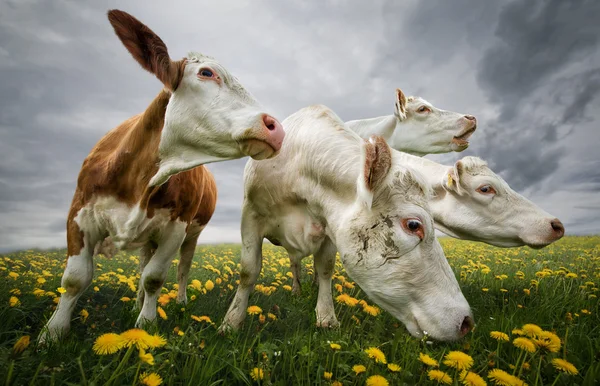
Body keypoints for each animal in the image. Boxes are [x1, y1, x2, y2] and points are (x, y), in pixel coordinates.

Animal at [220, 105, 474, 340]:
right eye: (413, 225)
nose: (467, 322)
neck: (298, 170)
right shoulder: (251, 216)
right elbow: (248, 270)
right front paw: (231, 321)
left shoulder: (330, 228)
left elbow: (325, 269)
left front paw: (326, 316)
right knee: (294, 265)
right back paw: (296, 290)